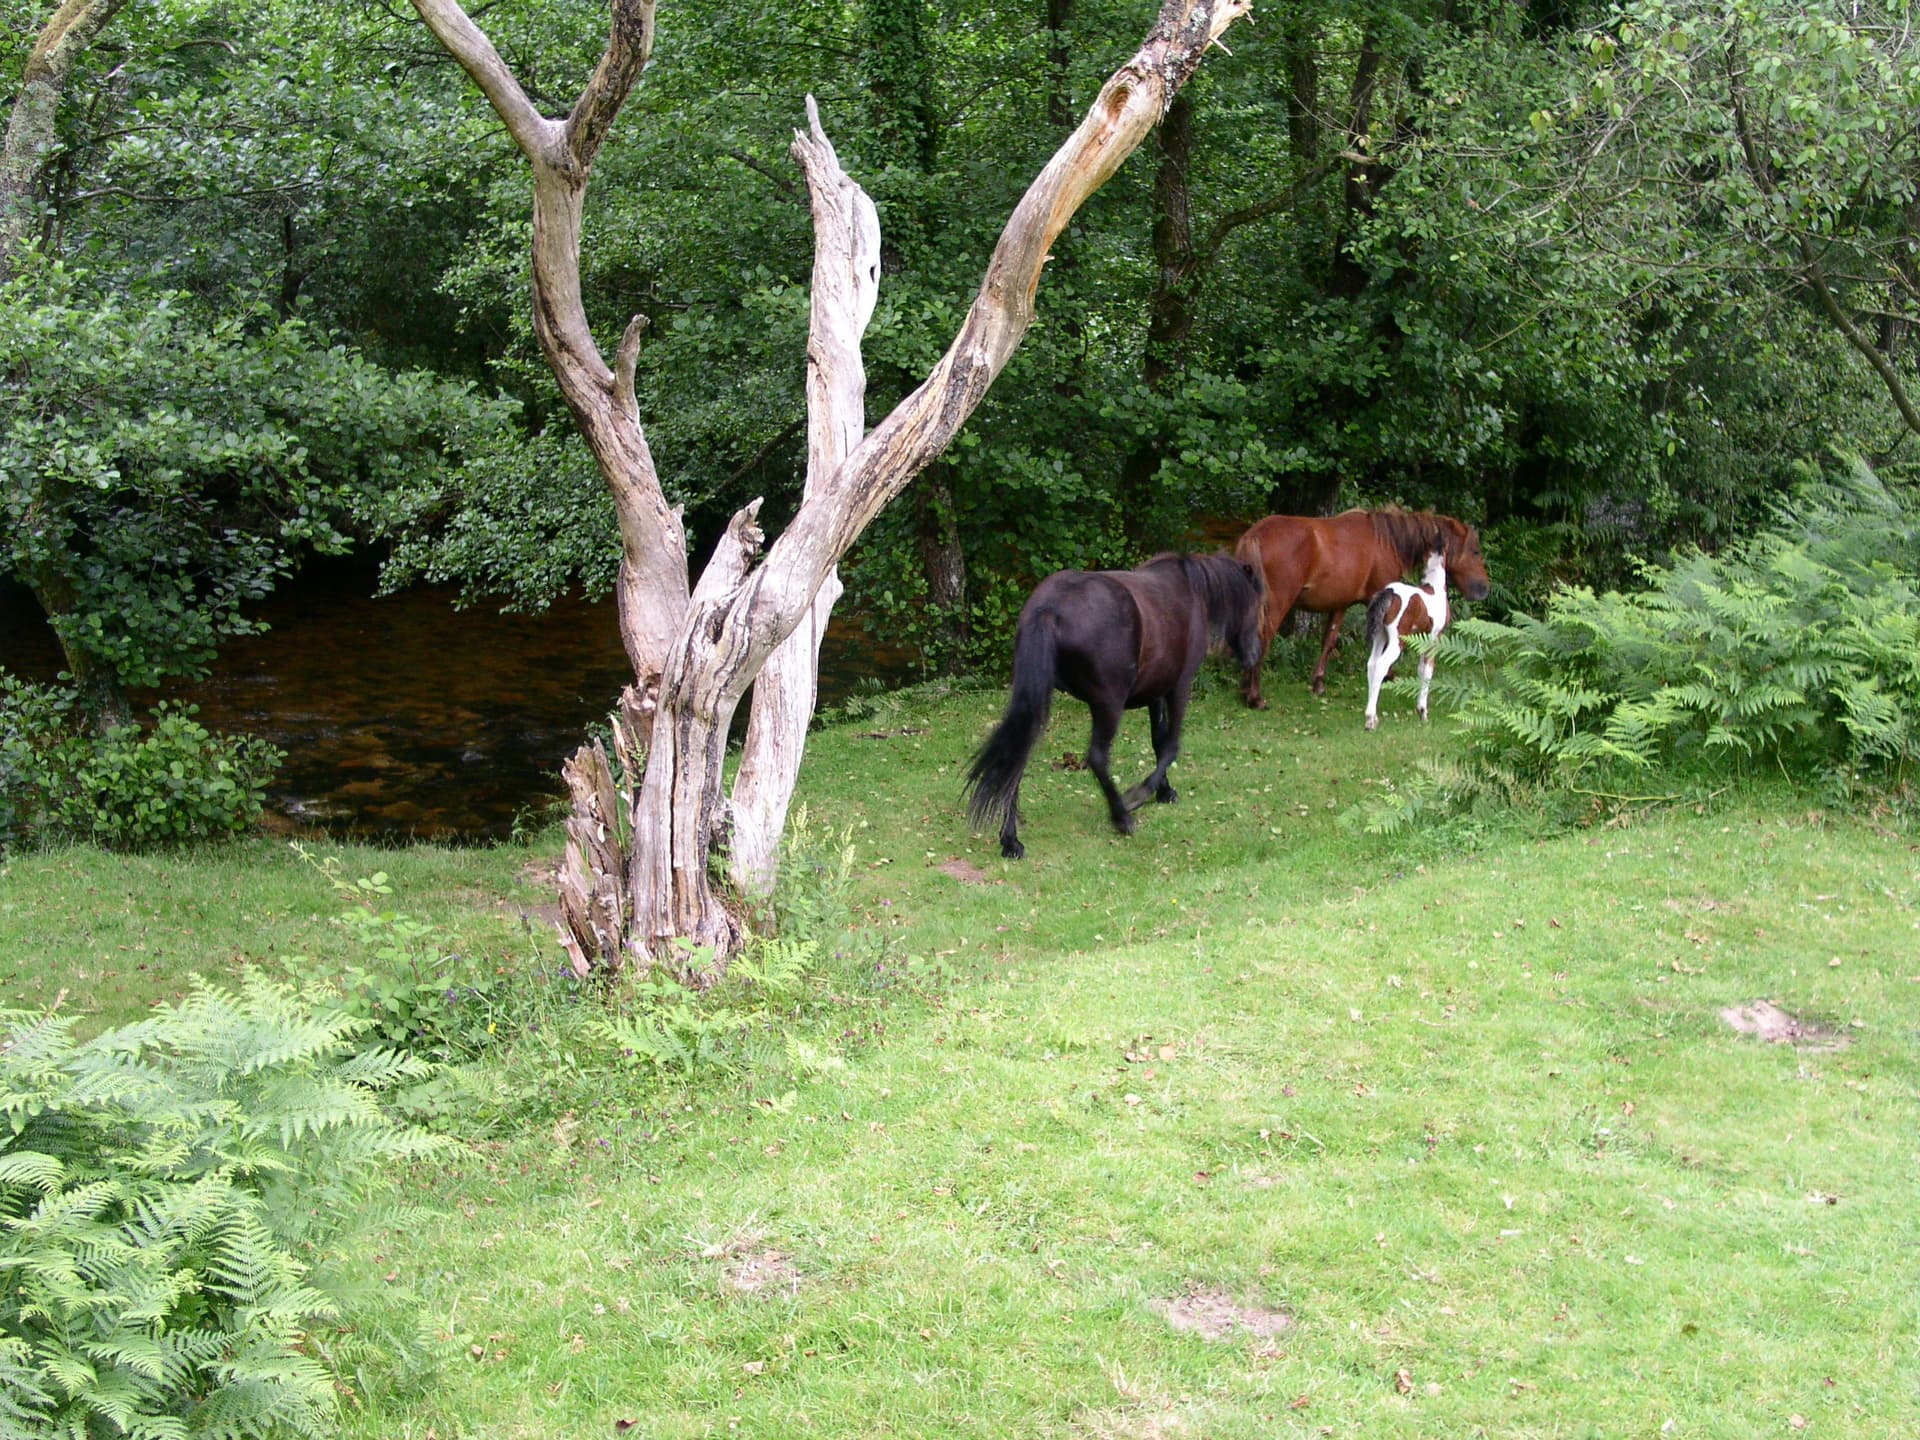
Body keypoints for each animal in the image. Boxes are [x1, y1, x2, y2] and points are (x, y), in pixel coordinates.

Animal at [965, 551, 1266, 859]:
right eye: (1256, 604)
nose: (1253, 654)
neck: (1190, 589)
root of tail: (1049, 609)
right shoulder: (1179, 687)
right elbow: (1171, 746)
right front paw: (1140, 795)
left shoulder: (1155, 693)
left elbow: (1159, 741)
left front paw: (1164, 791)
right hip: (1108, 704)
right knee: (1097, 757)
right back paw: (1122, 816)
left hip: (1040, 699)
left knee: (1017, 759)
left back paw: (1011, 841)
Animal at [1233, 508, 1490, 708]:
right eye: (1475, 551)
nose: (1484, 589)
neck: (1386, 541)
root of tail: (1254, 534)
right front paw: (1389, 675)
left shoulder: (1339, 605)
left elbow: (1328, 642)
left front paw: (1318, 683)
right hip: (1277, 605)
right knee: (1262, 640)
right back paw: (1255, 697)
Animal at [1363, 549, 1449, 730]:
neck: (1435, 588)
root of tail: (1390, 592)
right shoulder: (1434, 638)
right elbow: (1428, 671)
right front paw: (1422, 712)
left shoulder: (1422, 641)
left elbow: (1421, 670)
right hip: (1397, 640)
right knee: (1381, 665)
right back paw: (1370, 719)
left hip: (1381, 636)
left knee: (1372, 664)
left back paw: (1372, 718)